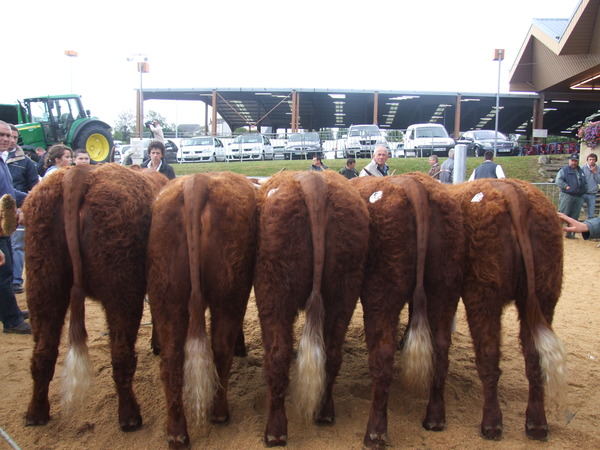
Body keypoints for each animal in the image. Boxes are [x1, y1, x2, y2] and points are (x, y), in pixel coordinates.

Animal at [23, 163, 168, 430]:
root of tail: (79, 173)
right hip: (122, 289)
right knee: (121, 355)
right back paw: (130, 417)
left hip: (43, 284)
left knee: (43, 352)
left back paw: (36, 414)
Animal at [148, 171, 258, 446]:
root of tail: (197, 182)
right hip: (229, 294)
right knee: (221, 350)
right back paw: (219, 413)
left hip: (167, 294)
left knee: (172, 360)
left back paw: (177, 433)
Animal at [253, 170, 370, 446]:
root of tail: (312, 180)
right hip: (345, 290)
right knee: (332, 354)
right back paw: (325, 413)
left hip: (273, 291)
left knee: (278, 356)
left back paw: (275, 432)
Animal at [354, 171, 466, 446]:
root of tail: (413, 185)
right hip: (445, 286)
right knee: (441, 347)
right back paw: (435, 418)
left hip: (380, 293)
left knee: (382, 357)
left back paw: (375, 433)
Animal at [452, 178, 568, 442]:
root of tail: (511, 191)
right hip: (546, 292)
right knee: (534, 358)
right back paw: (537, 424)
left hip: (483, 293)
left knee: (489, 357)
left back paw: (491, 424)